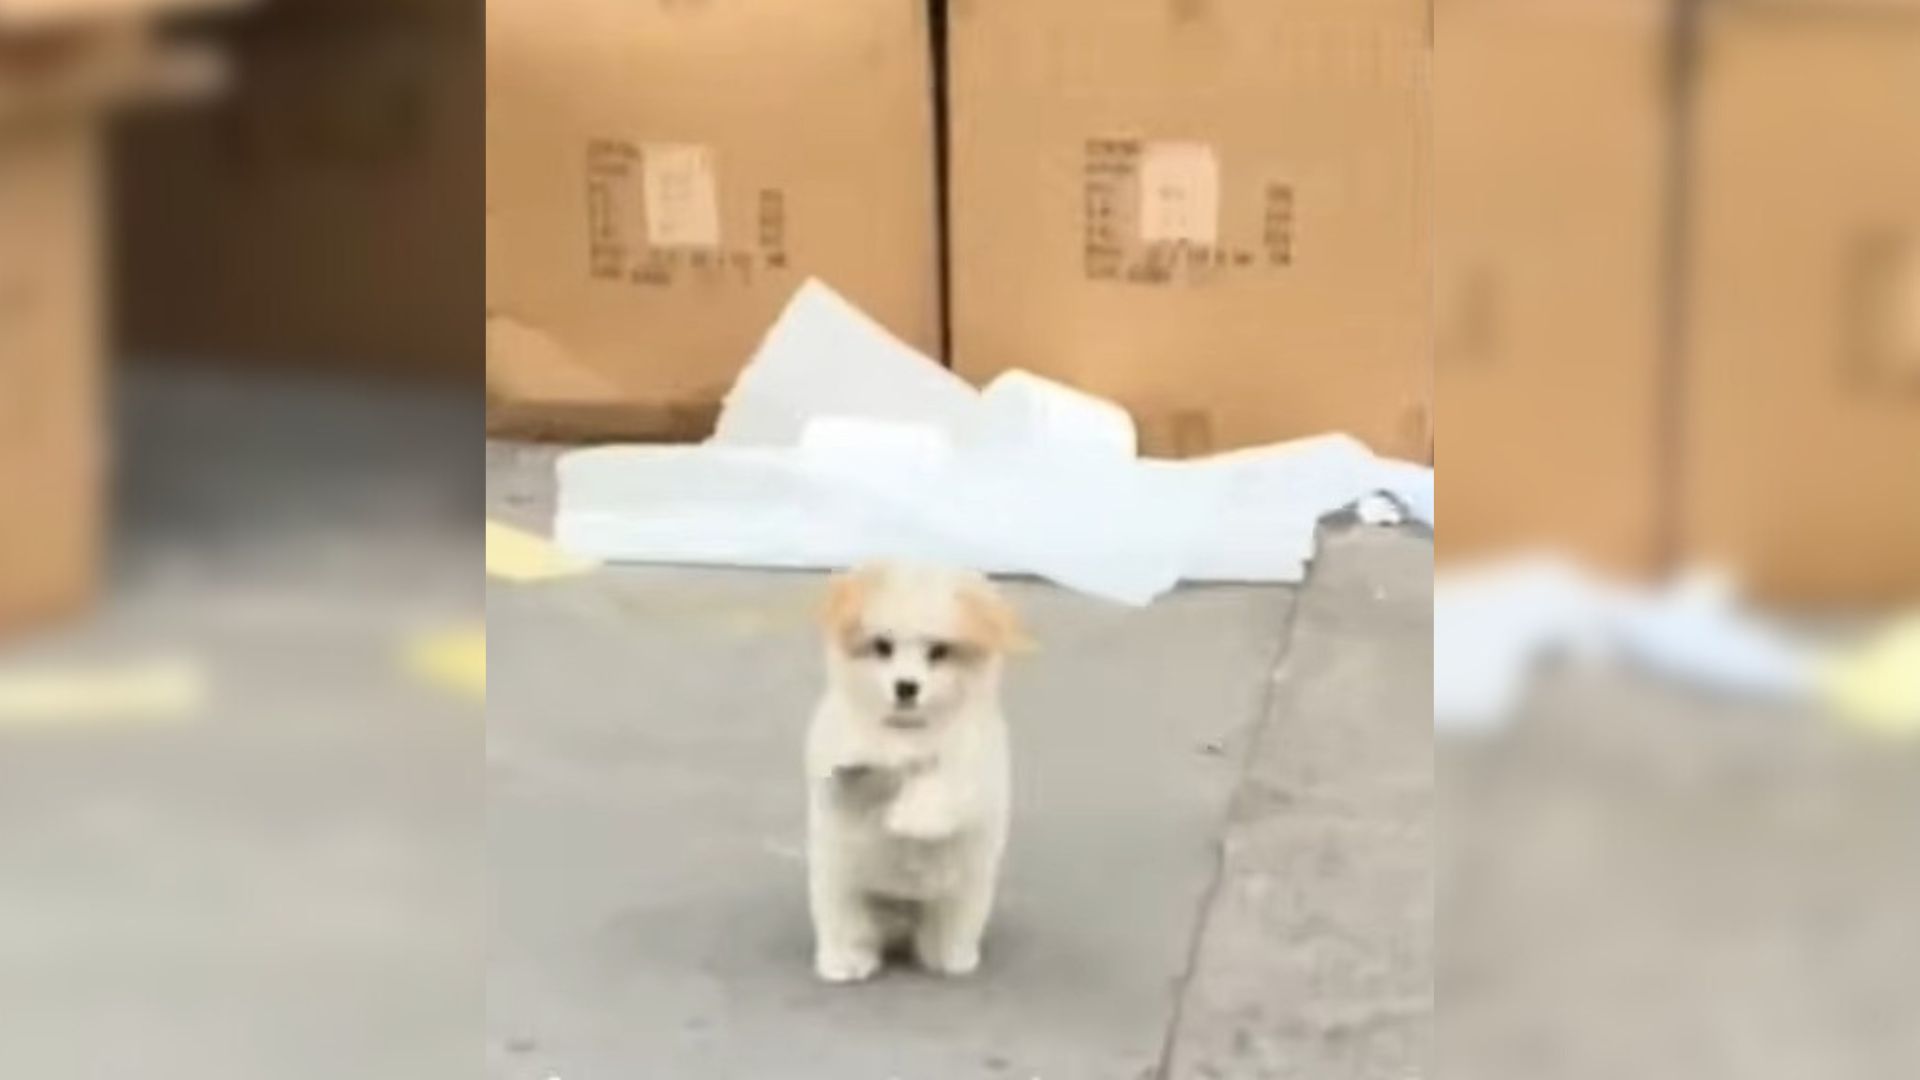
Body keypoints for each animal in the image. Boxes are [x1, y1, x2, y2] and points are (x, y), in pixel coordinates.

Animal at [802, 557, 1029, 980]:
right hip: (843, 887)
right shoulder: (835, 754)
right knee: (849, 925)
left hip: (959, 894)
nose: (906, 687)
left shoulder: (972, 760)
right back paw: (845, 962)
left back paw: (951, 958)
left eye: (938, 651)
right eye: (882, 646)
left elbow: (941, 783)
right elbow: (849, 774)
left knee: (949, 926)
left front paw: (914, 818)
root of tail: (901, 914)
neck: (907, 731)